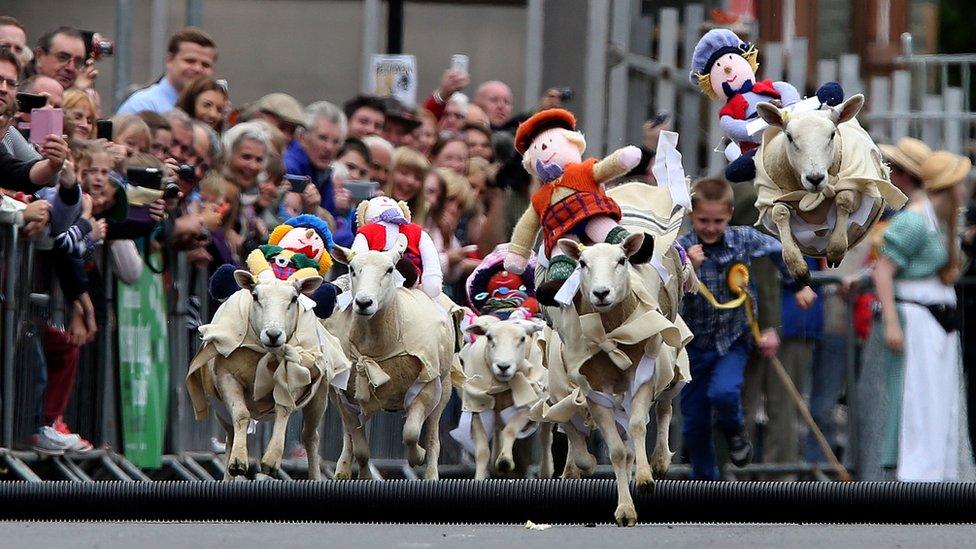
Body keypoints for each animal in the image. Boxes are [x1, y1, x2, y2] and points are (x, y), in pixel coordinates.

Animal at [185, 272, 348, 478]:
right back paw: (230, 469)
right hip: (220, 409)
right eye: (255, 296)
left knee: (310, 437)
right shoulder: (227, 377)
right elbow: (242, 415)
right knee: (231, 436)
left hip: (319, 397)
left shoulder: (294, 378)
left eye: (294, 298)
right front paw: (238, 461)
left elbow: (284, 410)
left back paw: (315, 476)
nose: (273, 334)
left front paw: (271, 461)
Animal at [322, 235, 456, 480]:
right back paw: (342, 469)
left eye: (390, 269)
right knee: (348, 436)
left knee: (433, 437)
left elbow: (411, 433)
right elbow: (361, 449)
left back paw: (431, 472)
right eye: (352, 268)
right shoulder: (344, 396)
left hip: (444, 388)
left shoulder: (427, 387)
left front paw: (417, 456)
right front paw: (364, 476)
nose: (364, 303)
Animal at [452, 314, 552, 478]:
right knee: (498, 429)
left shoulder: (526, 408)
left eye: (522, 338)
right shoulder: (476, 407)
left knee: (545, 436)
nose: (503, 366)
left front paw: (505, 461)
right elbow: (482, 452)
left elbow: (510, 430)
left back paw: (545, 471)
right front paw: (481, 476)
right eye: (489, 337)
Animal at [752, 93, 912, 278]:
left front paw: (836, 250)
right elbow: (779, 212)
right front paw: (797, 267)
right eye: (789, 137)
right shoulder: (768, 200)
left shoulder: (858, 183)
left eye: (832, 134)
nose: (815, 178)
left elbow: (844, 198)